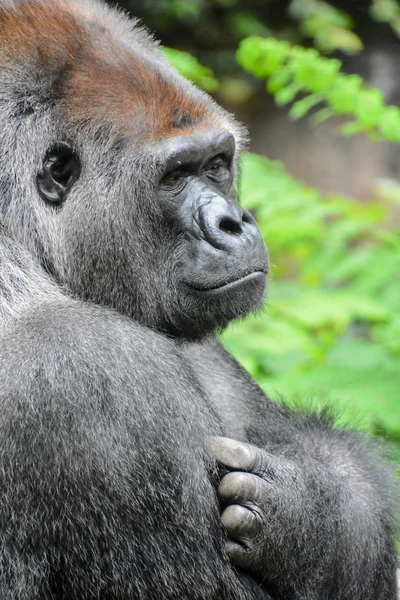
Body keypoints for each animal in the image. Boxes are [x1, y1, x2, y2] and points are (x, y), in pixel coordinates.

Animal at [0, 0, 396, 596]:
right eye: (175, 176)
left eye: (216, 164)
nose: (235, 222)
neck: (20, 239)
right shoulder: (89, 368)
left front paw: (318, 509)